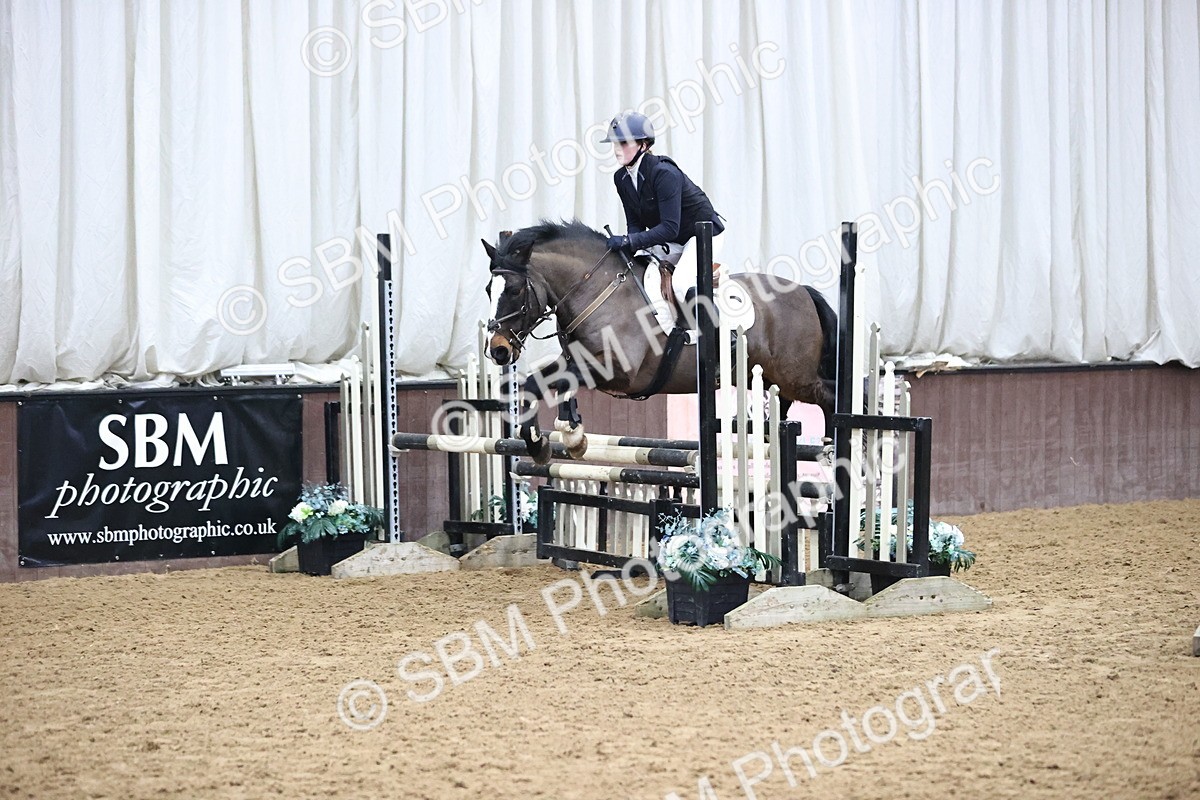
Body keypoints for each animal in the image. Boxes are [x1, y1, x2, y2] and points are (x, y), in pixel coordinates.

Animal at [482, 219, 837, 464]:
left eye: (514, 290)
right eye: (488, 290)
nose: (498, 350)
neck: (595, 291)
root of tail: (804, 291)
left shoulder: (618, 373)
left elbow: (548, 384)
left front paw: (557, 440)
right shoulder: (578, 362)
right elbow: (535, 384)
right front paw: (554, 441)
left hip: (795, 375)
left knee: (828, 396)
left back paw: (832, 448)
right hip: (766, 377)